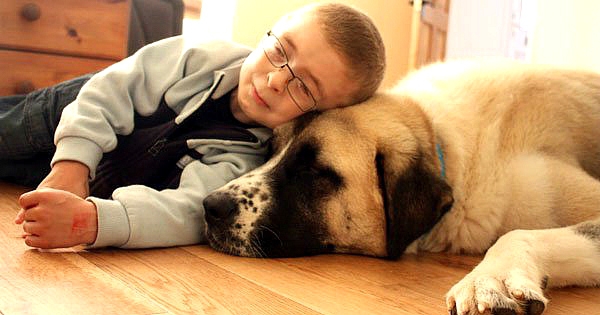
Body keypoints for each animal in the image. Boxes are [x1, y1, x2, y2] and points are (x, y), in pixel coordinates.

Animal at [203, 60, 600, 314]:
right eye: (271, 149)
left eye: (314, 171)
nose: (211, 206)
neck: (439, 141)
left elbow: (517, 234)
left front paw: (491, 279)